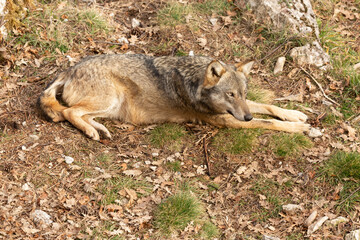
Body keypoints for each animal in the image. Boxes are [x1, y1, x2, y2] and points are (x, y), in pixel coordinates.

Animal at [38, 54, 310, 141]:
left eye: (242, 94)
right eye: (229, 94)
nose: (247, 117)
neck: (195, 82)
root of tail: (69, 69)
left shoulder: (241, 110)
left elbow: (268, 107)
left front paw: (295, 114)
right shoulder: (226, 120)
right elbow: (268, 122)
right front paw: (299, 129)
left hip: (111, 106)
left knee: (79, 113)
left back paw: (99, 129)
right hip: (110, 99)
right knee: (69, 111)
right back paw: (91, 132)